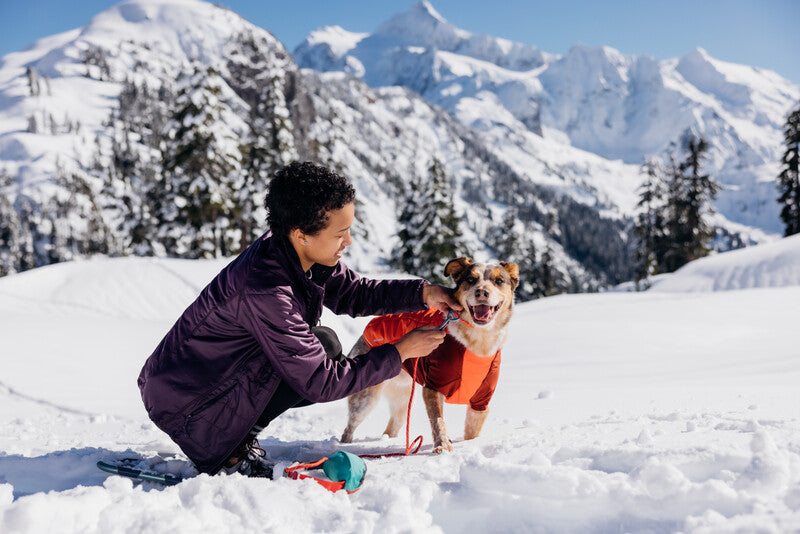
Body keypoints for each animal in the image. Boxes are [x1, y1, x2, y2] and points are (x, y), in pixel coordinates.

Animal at [340, 258, 520, 454]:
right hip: (365, 399)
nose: (481, 292)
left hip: (402, 399)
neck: (477, 343)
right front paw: (443, 446)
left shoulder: (481, 399)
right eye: (471, 280)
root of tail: (367, 330)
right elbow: (437, 421)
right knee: (349, 428)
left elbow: (472, 431)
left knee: (393, 425)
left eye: (499, 281)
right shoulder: (434, 386)